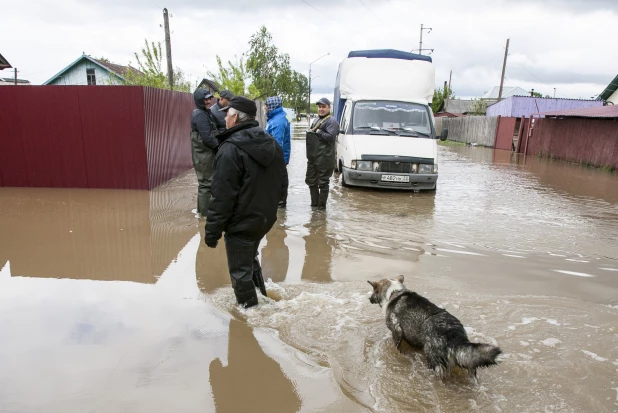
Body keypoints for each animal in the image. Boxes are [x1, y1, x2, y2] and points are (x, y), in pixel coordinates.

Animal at [366, 276, 500, 378]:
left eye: (373, 291)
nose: (368, 298)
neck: (394, 293)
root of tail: (455, 336)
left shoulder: (396, 331)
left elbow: (398, 345)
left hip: (433, 360)